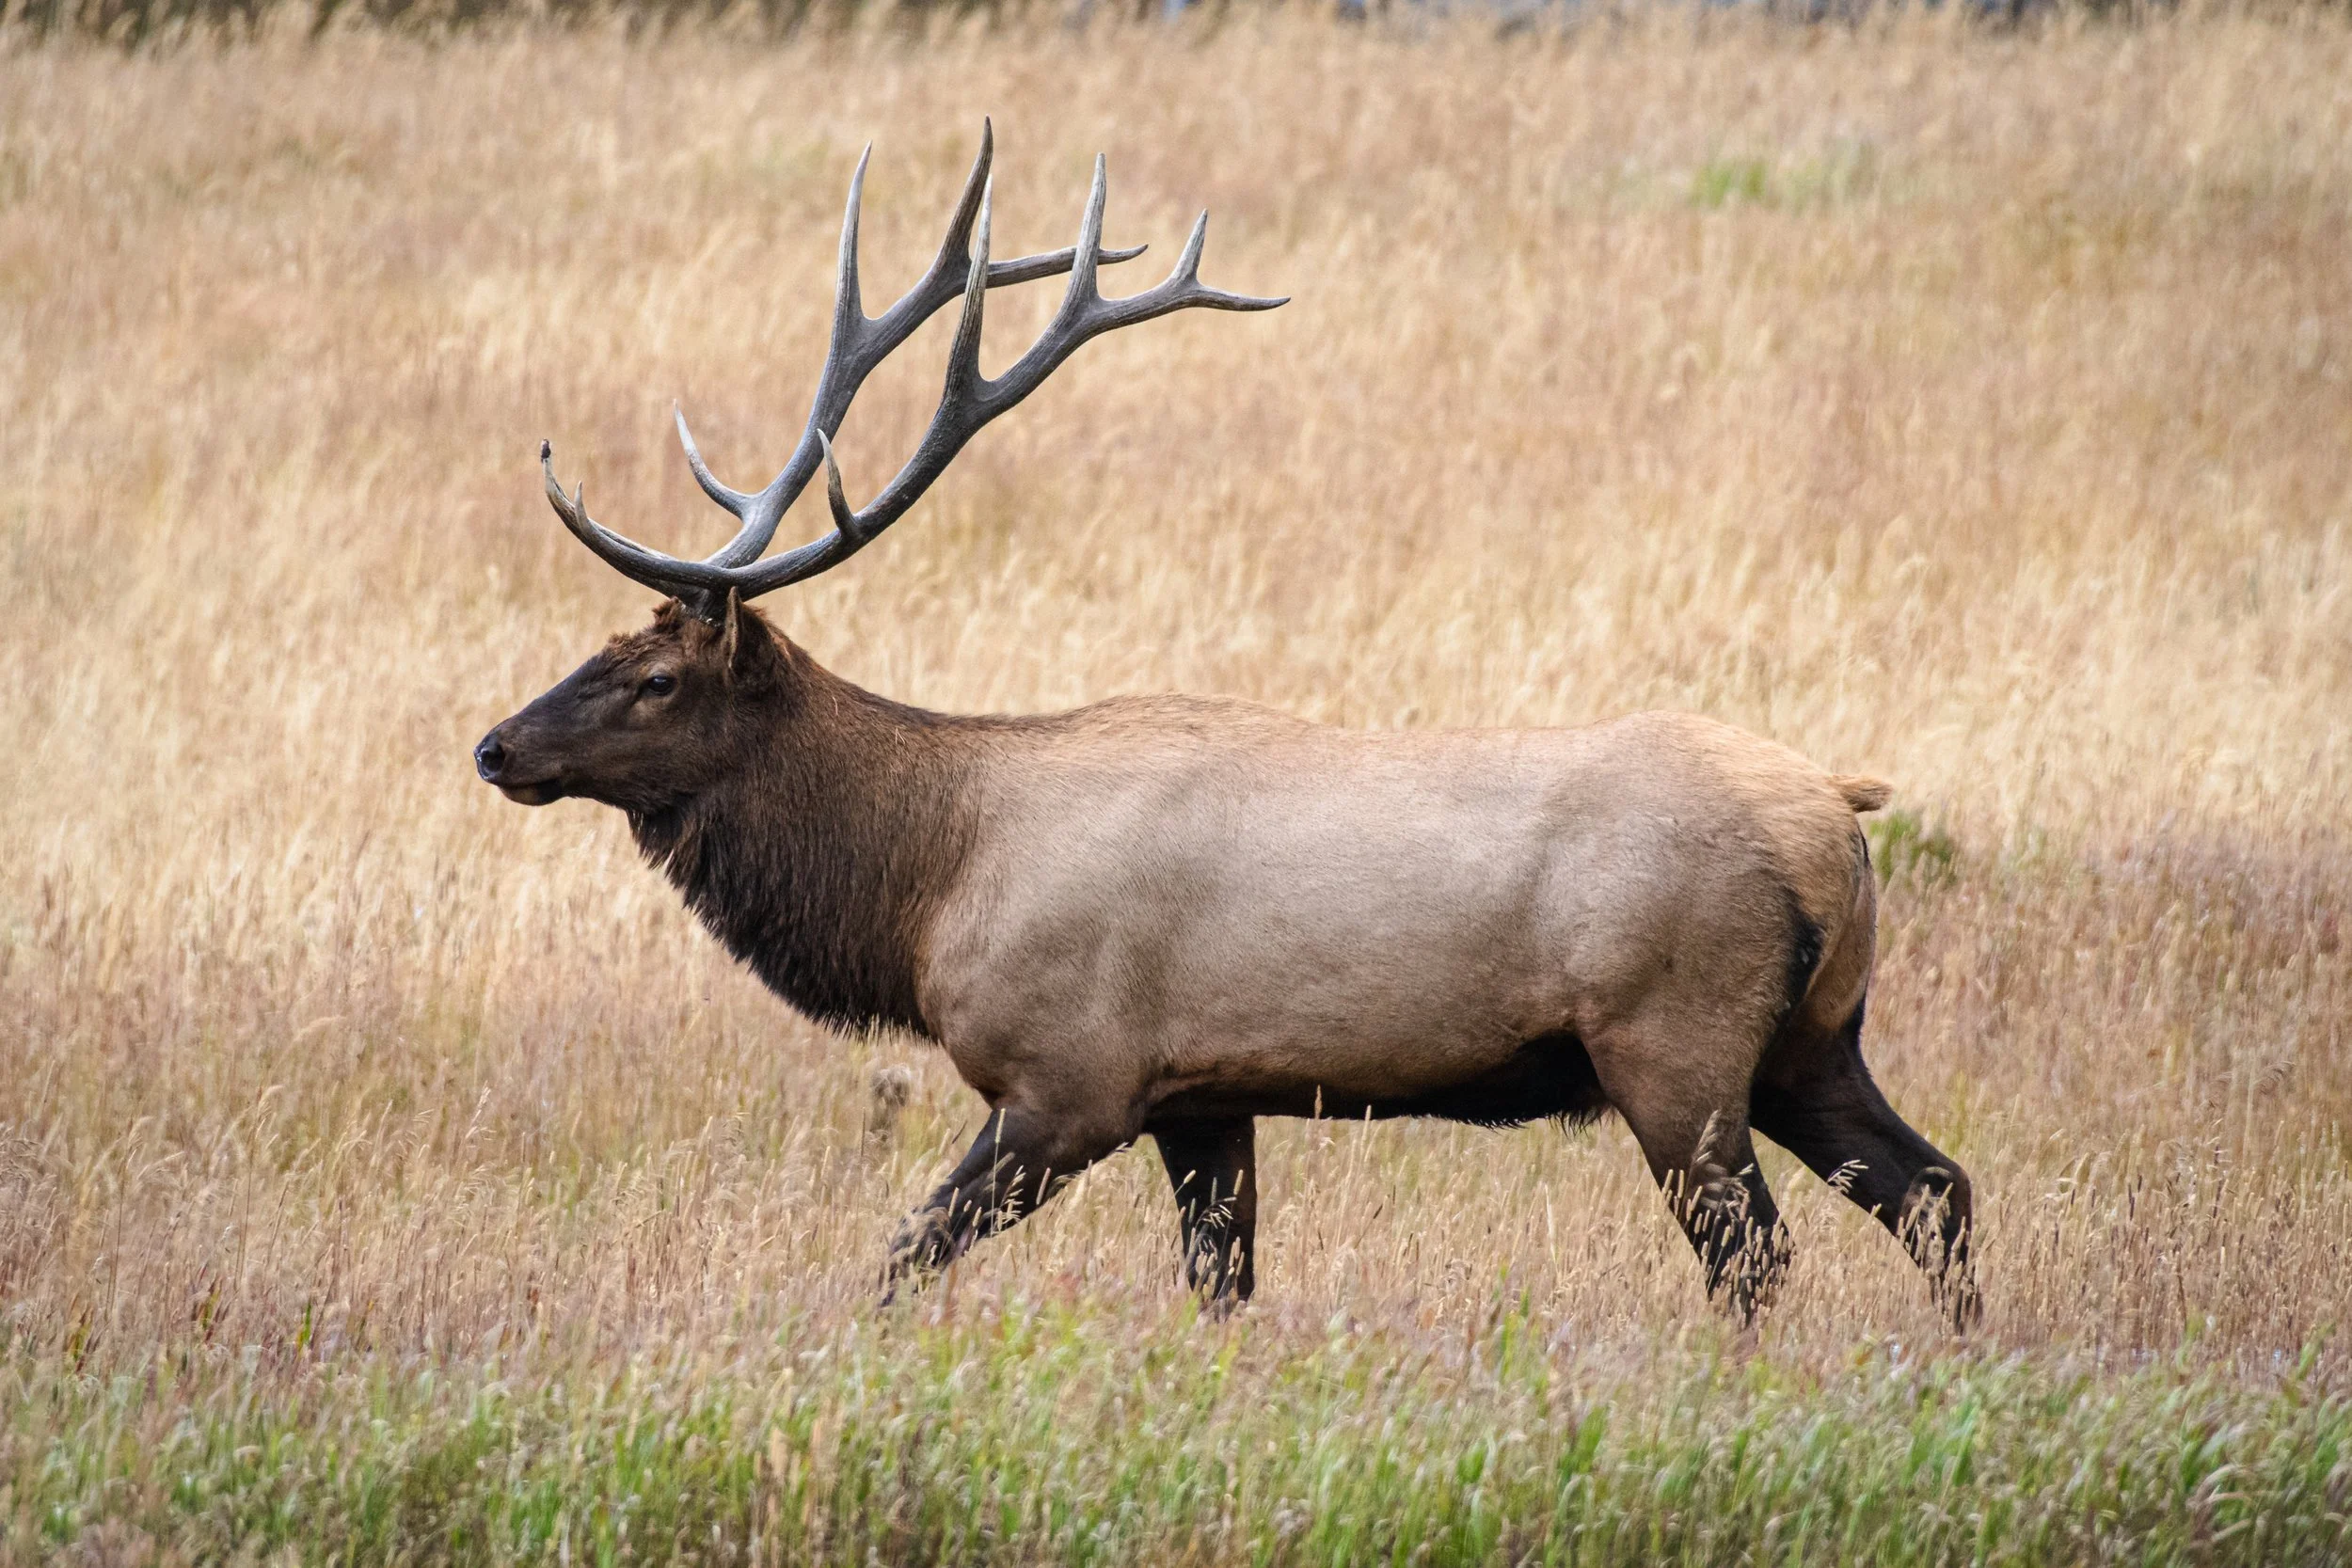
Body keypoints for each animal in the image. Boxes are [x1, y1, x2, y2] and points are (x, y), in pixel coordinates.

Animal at [474, 127, 1977, 1326]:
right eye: (603, 647)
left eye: (656, 678)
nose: (495, 745)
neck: (924, 884)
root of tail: (1840, 817)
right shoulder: (1202, 1094)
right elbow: (1222, 1284)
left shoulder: (1065, 1079)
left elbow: (903, 1252)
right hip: (1811, 1040)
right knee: (1937, 1187)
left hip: (1676, 1041)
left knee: (1758, 1251)